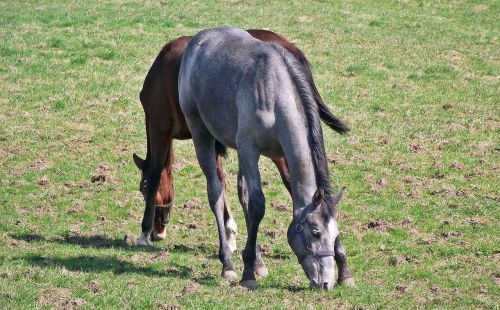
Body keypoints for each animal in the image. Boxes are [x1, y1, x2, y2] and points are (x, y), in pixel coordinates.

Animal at [131, 30, 354, 284]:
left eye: (334, 233)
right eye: (315, 233)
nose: (325, 282)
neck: (274, 93)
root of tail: (200, 38)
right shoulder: (246, 148)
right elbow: (255, 204)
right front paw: (248, 272)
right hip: (202, 134)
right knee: (216, 193)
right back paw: (227, 263)